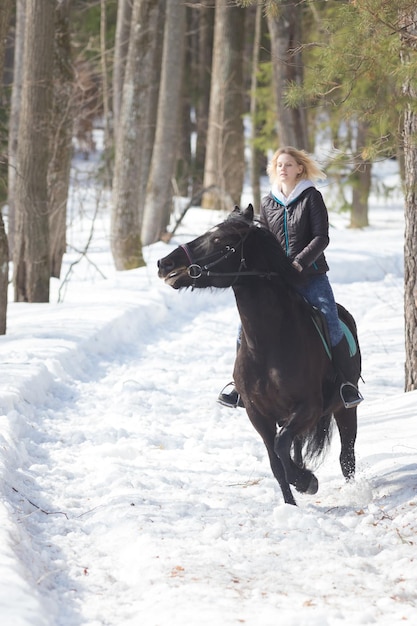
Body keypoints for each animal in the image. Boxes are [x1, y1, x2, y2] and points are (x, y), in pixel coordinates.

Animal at [158, 202, 360, 504]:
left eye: (219, 240)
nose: (165, 264)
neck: (268, 345)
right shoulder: (257, 413)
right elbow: (276, 461)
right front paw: (293, 500)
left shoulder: (309, 407)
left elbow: (281, 446)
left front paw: (307, 481)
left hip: (345, 408)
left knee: (347, 455)